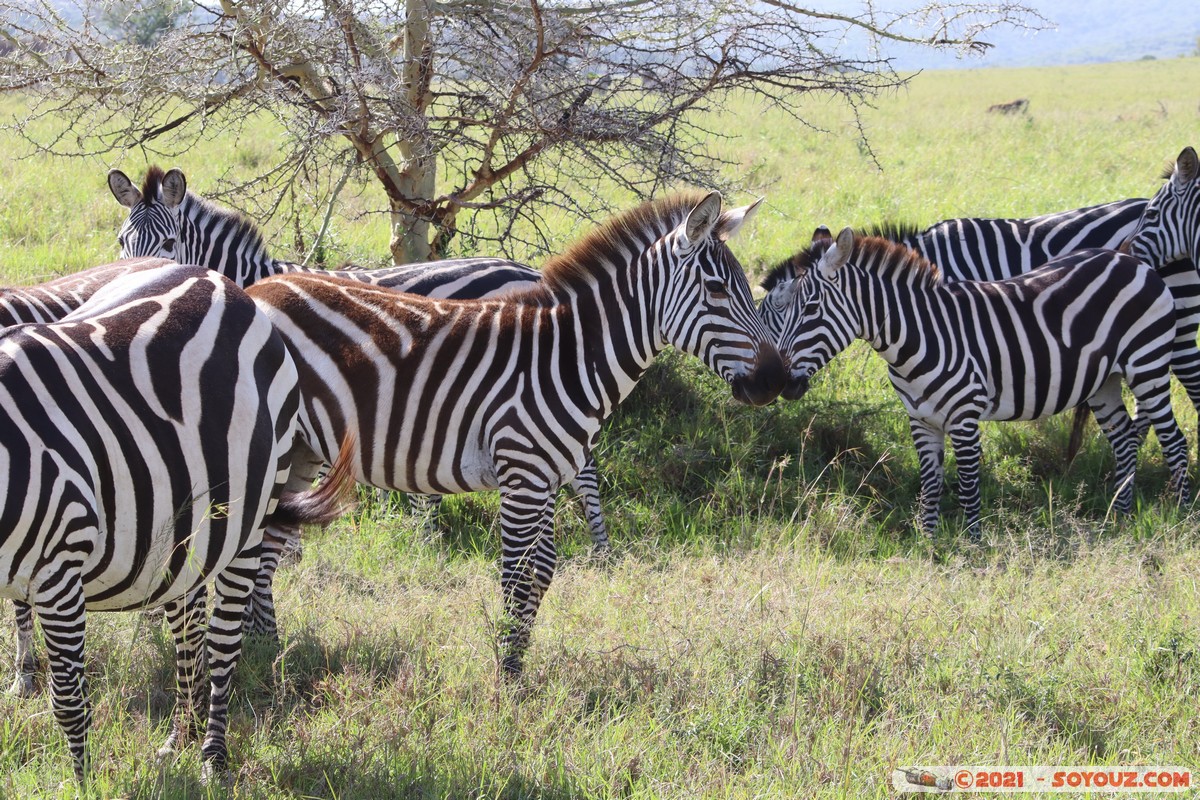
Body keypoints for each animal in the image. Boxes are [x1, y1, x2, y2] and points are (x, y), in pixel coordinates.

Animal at [0, 263, 355, 782]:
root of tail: (219, 281)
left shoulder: (59, 568)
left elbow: (67, 701)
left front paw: (83, 785)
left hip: (248, 521)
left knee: (222, 641)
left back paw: (212, 756)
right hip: (183, 538)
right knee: (188, 634)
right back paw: (179, 737)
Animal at [244, 194, 787, 676]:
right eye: (717, 290)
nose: (775, 381)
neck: (566, 360)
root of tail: (257, 290)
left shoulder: (547, 476)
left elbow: (542, 570)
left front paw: (518, 666)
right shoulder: (522, 473)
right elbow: (517, 575)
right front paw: (505, 679)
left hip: (302, 450)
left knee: (267, 544)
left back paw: (267, 651)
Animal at [758, 226, 1190, 537]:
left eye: (811, 309)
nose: (782, 382)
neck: (917, 336)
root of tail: (1128, 257)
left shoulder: (964, 417)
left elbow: (967, 484)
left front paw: (972, 545)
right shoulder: (921, 419)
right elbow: (930, 483)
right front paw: (928, 543)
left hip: (1148, 365)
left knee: (1174, 441)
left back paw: (1182, 515)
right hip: (1104, 381)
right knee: (1123, 439)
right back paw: (1120, 517)